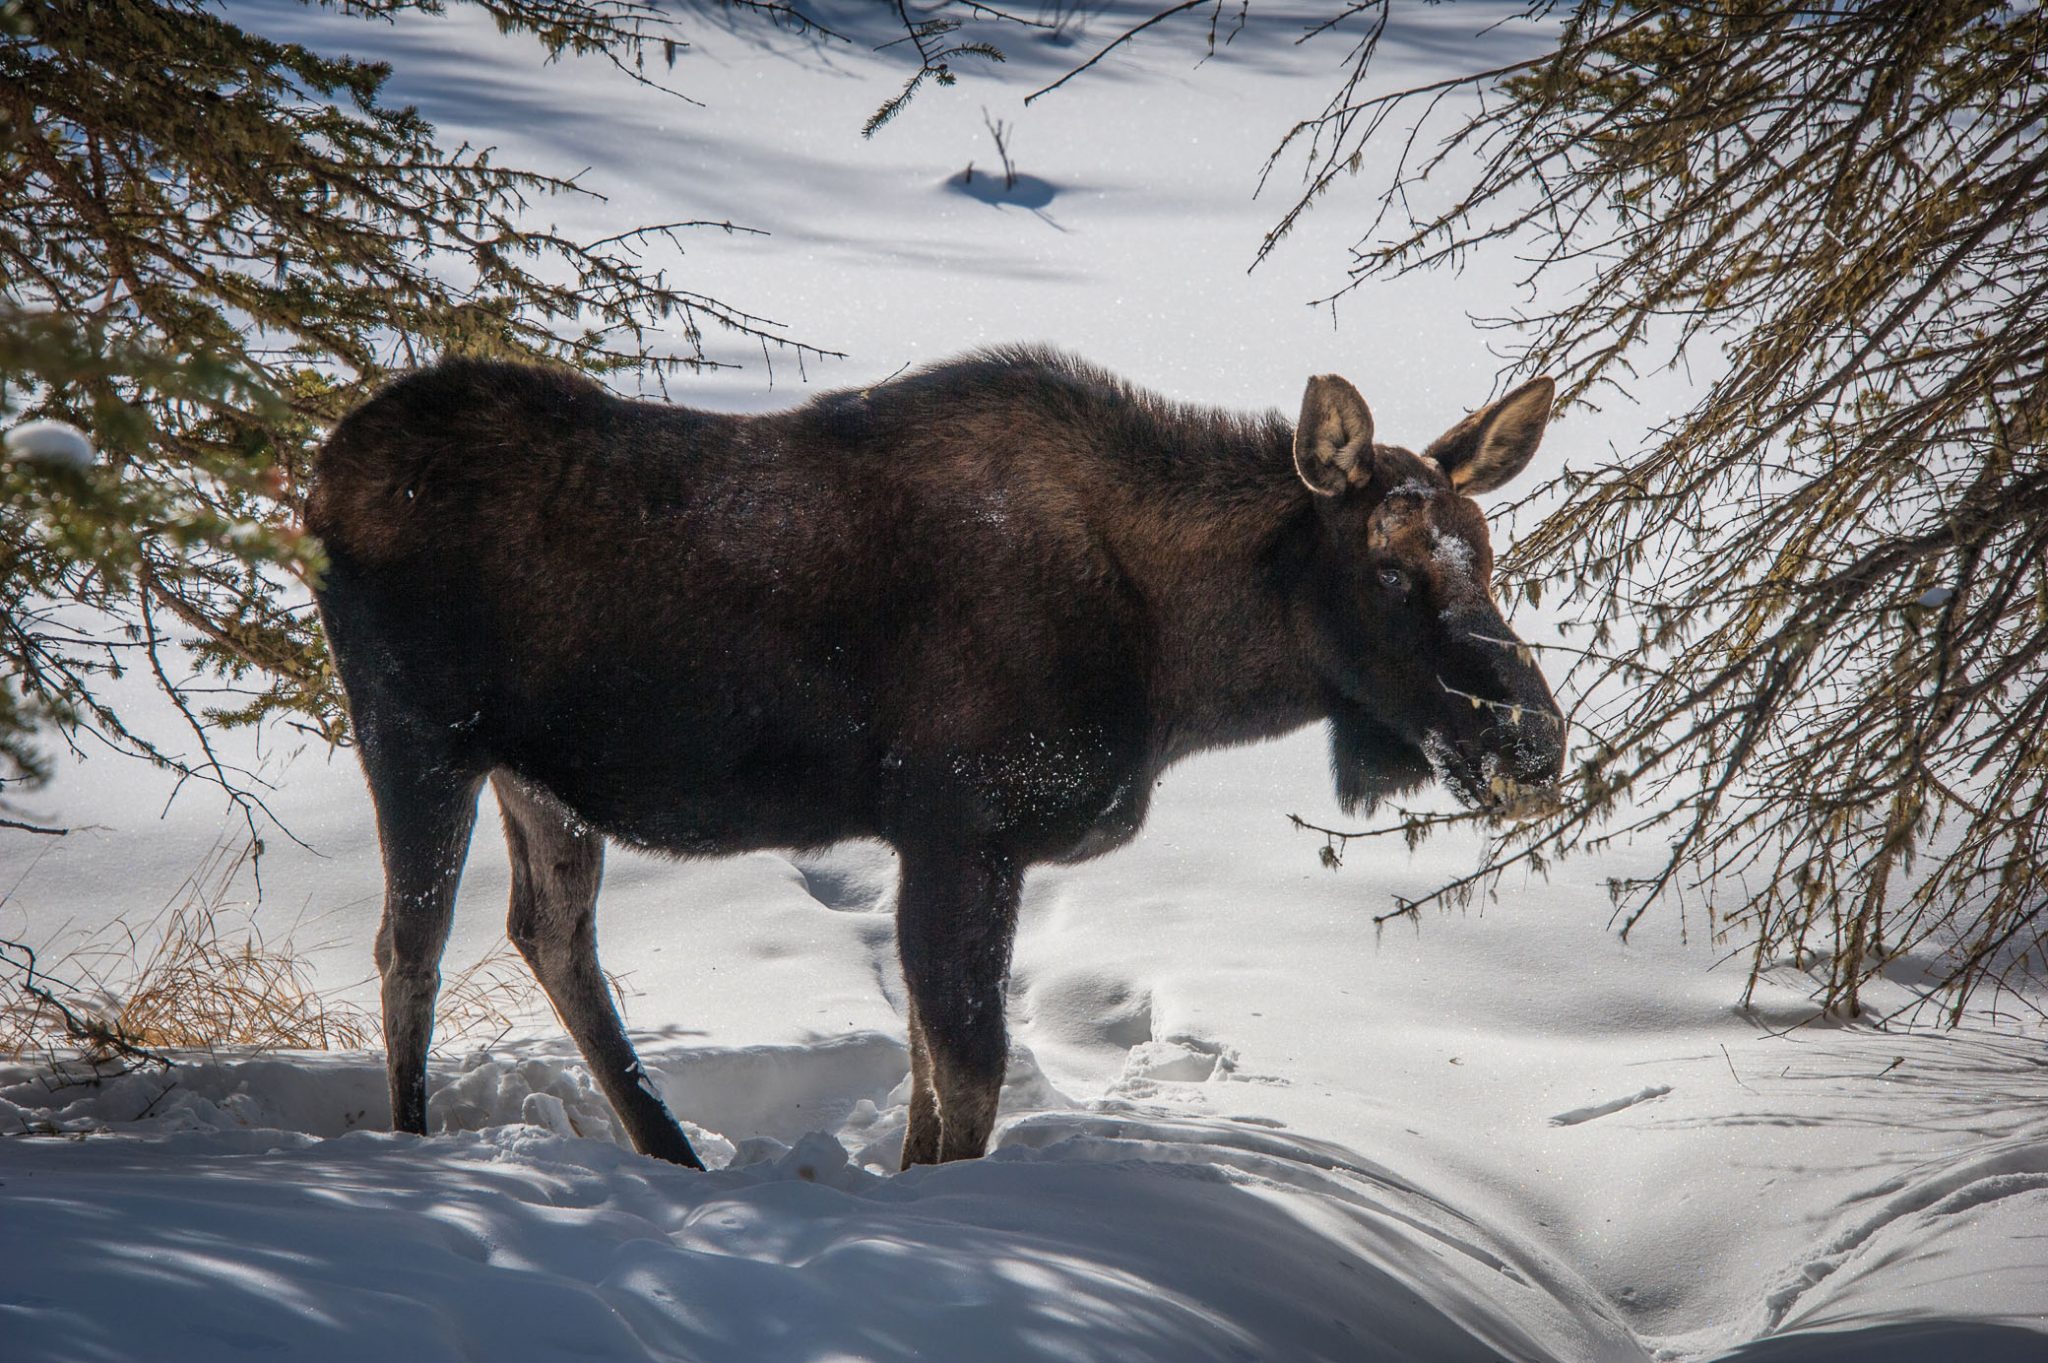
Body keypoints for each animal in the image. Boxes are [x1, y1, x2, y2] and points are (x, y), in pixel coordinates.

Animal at [305, 347, 1565, 1169]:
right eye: (1389, 571)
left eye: (1488, 554)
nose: (1534, 740)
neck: (1176, 665)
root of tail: (317, 474)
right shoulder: (964, 827)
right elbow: (966, 1073)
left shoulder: (942, 844)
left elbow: (925, 1066)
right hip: (416, 732)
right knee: (409, 950)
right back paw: (412, 1149)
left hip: (539, 776)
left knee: (548, 931)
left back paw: (667, 1151)